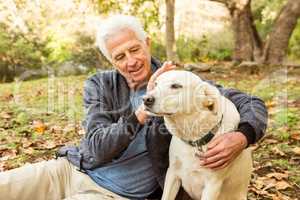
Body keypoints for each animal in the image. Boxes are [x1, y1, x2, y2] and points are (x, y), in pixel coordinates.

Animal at [144, 70, 252, 200]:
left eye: (176, 86)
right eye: (155, 84)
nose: (145, 99)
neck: (193, 138)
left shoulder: (212, 185)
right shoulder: (172, 173)